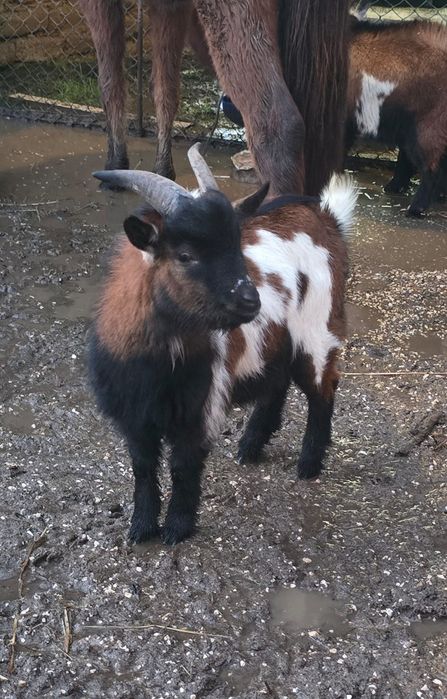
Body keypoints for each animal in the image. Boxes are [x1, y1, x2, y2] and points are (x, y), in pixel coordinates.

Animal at [80, 0, 351, 196]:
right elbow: (165, 91)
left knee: (278, 124)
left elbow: (110, 83)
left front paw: (114, 167)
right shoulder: (170, 6)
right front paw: (163, 170)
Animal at [89, 144, 356, 545]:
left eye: (236, 246)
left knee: (323, 388)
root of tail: (327, 218)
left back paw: (308, 465)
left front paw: (177, 528)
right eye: (185, 255)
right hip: (275, 342)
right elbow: (143, 468)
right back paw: (250, 446)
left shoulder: (198, 406)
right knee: (277, 382)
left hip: (317, 332)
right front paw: (141, 527)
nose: (250, 301)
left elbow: (183, 467)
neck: (156, 364)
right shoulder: (134, 415)